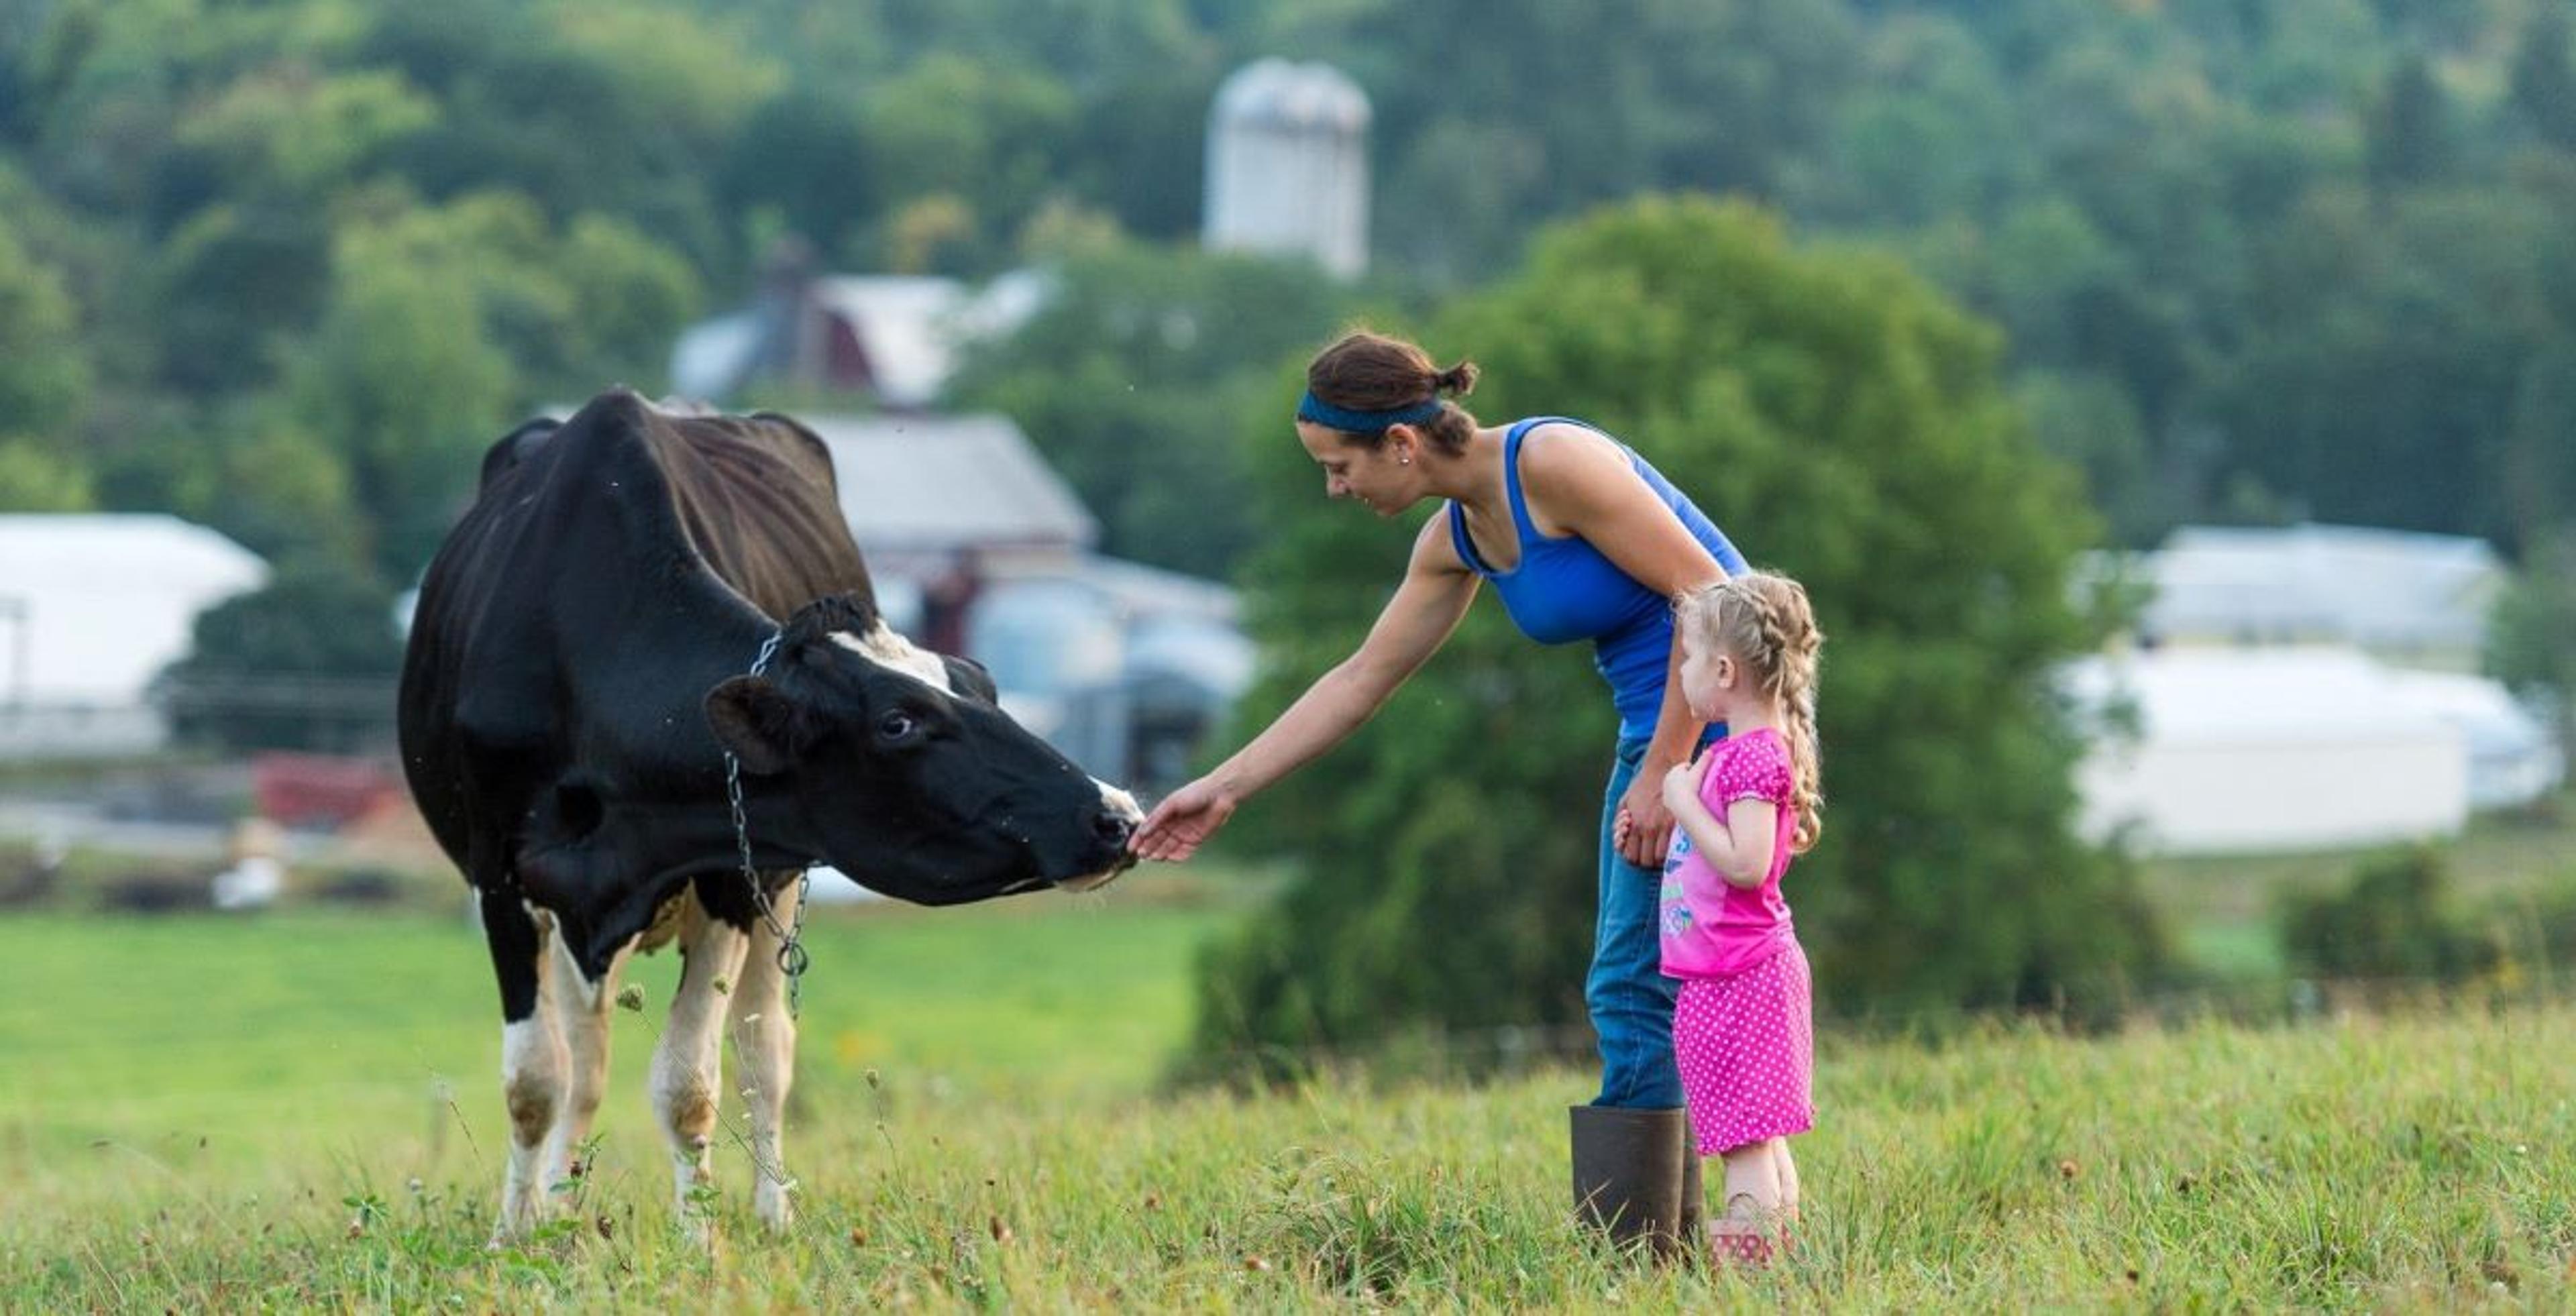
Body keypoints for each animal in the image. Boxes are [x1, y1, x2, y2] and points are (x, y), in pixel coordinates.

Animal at [396, 386, 1143, 1241]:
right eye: (900, 722)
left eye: (980, 688)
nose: (1115, 814)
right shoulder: (499, 878)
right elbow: (534, 1083)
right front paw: (520, 1235)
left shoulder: (730, 868)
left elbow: (689, 1084)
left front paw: (698, 1241)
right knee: (587, 1062)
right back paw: (560, 1203)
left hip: (773, 892)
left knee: (764, 1056)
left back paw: (769, 1211)